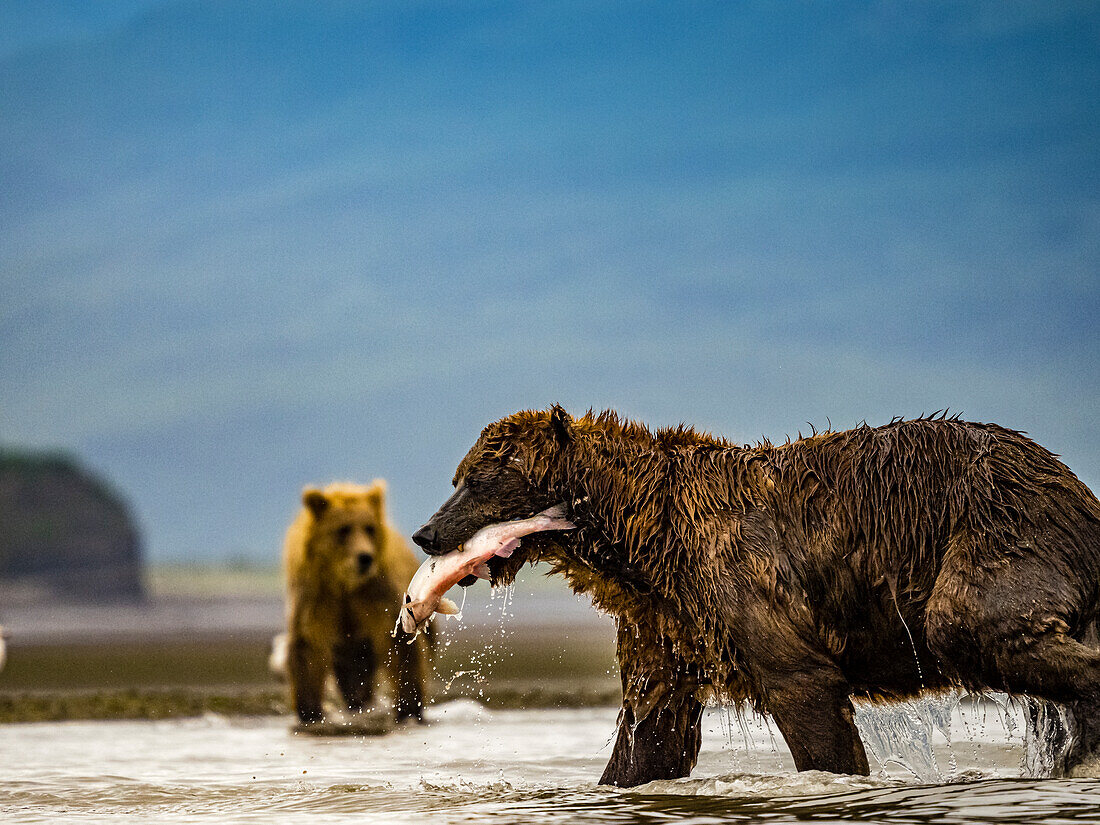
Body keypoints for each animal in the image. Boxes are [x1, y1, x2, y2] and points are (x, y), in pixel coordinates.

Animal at [283, 481, 429, 726]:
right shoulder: (318, 597)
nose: (365, 557)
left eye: (369, 528)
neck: (346, 583)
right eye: (343, 529)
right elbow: (309, 644)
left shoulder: (376, 595)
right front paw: (310, 711)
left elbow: (399, 645)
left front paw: (408, 707)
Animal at [413, 407, 1100, 787]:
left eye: (483, 478)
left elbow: (806, 692)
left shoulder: (741, 582)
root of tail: (1074, 486)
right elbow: (650, 731)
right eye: (459, 476)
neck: (644, 541)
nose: (426, 532)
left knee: (968, 623)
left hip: (997, 529)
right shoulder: (667, 623)